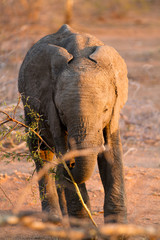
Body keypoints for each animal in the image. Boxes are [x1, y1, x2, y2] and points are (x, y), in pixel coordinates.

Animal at [18, 24, 128, 225]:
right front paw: (82, 226)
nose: (71, 163)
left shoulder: (114, 115)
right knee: (41, 150)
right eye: (62, 112)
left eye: (105, 110)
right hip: (28, 107)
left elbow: (112, 151)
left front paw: (118, 226)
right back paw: (54, 219)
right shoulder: (50, 107)